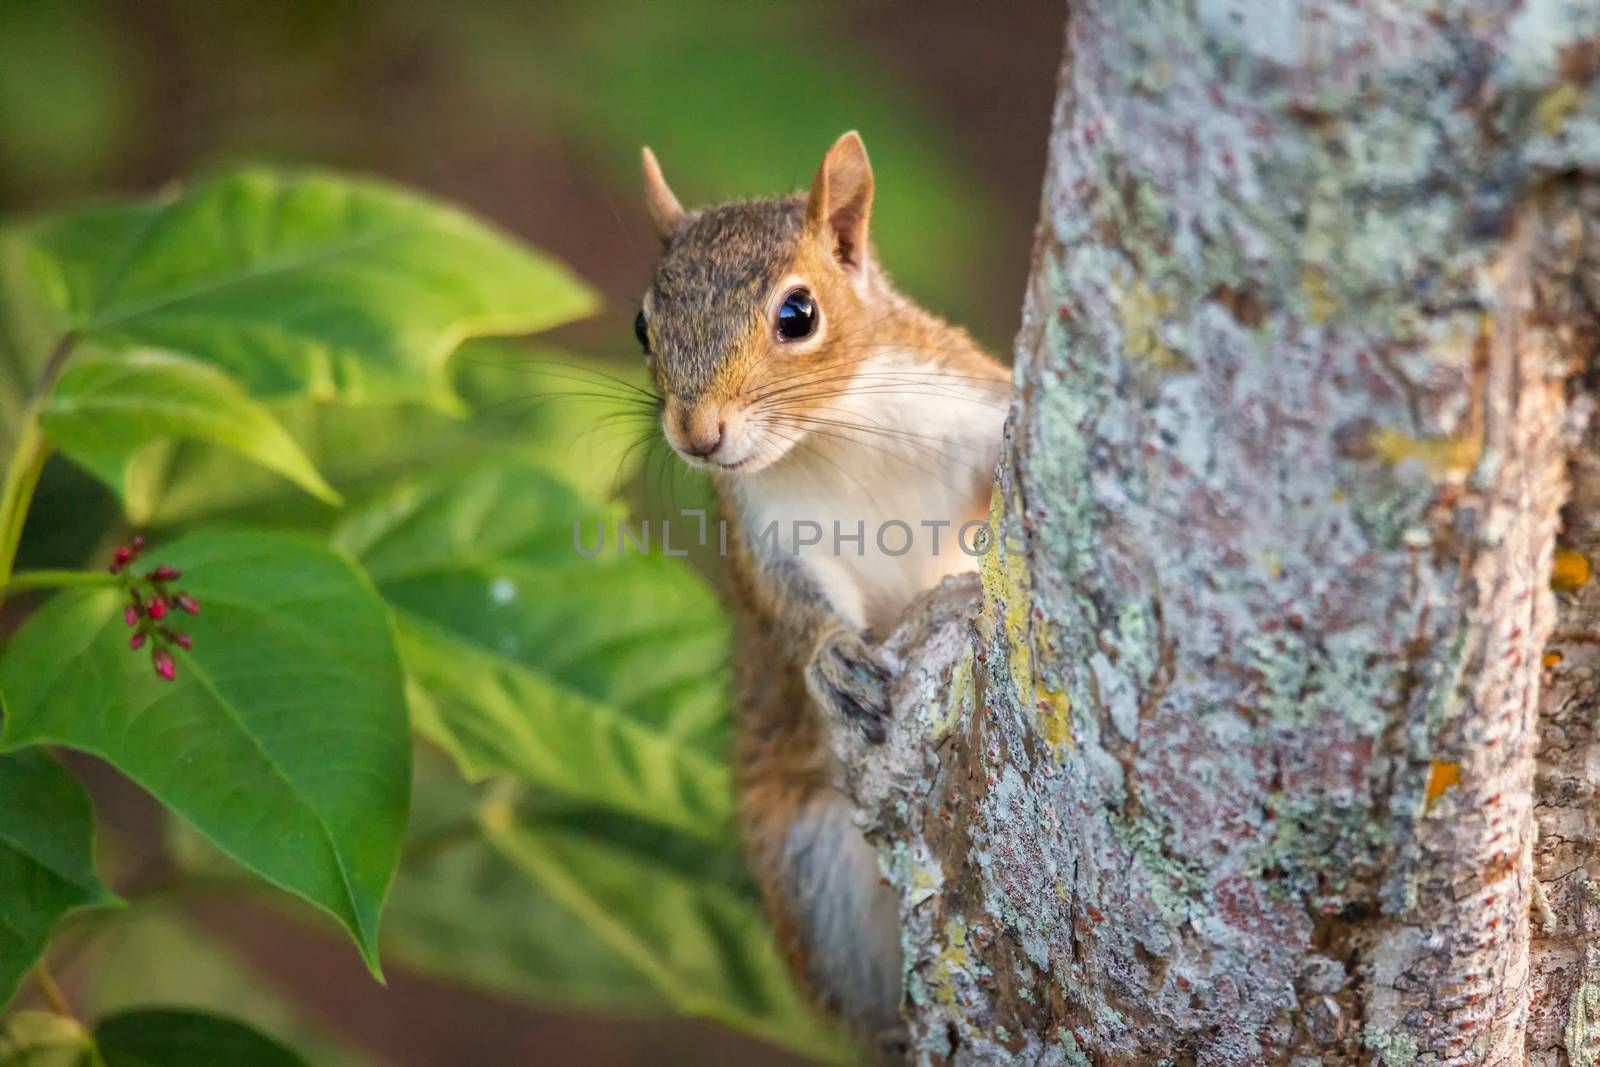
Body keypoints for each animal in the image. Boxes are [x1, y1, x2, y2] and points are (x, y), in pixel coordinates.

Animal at [633, 129, 998, 1055]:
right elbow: (790, 605)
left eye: (798, 315)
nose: (697, 435)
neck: (832, 433)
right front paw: (834, 661)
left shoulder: (969, 406)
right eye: (642, 325)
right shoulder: (764, 529)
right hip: (810, 873)